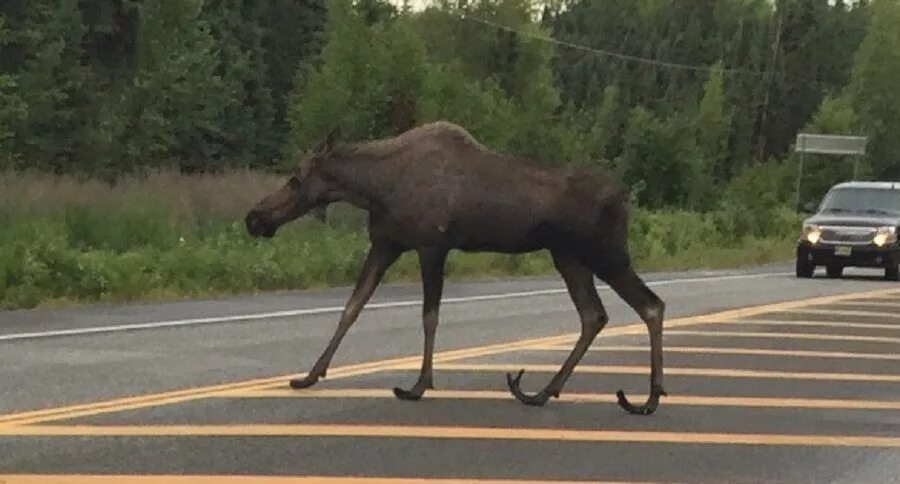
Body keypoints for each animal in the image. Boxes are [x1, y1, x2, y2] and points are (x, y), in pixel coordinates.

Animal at [246, 120, 668, 412]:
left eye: (295, 178)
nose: (254, 218)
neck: (374, 189)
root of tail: (625, 197)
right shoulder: (385, 244)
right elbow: (351, 307)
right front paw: (310, 375)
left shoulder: (432, 246)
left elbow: (429, 315)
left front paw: (419, 384)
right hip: (567, 255)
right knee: (594, 314)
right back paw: (543, 392)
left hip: (604, 253)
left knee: (650, 304)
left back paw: (648, 399)